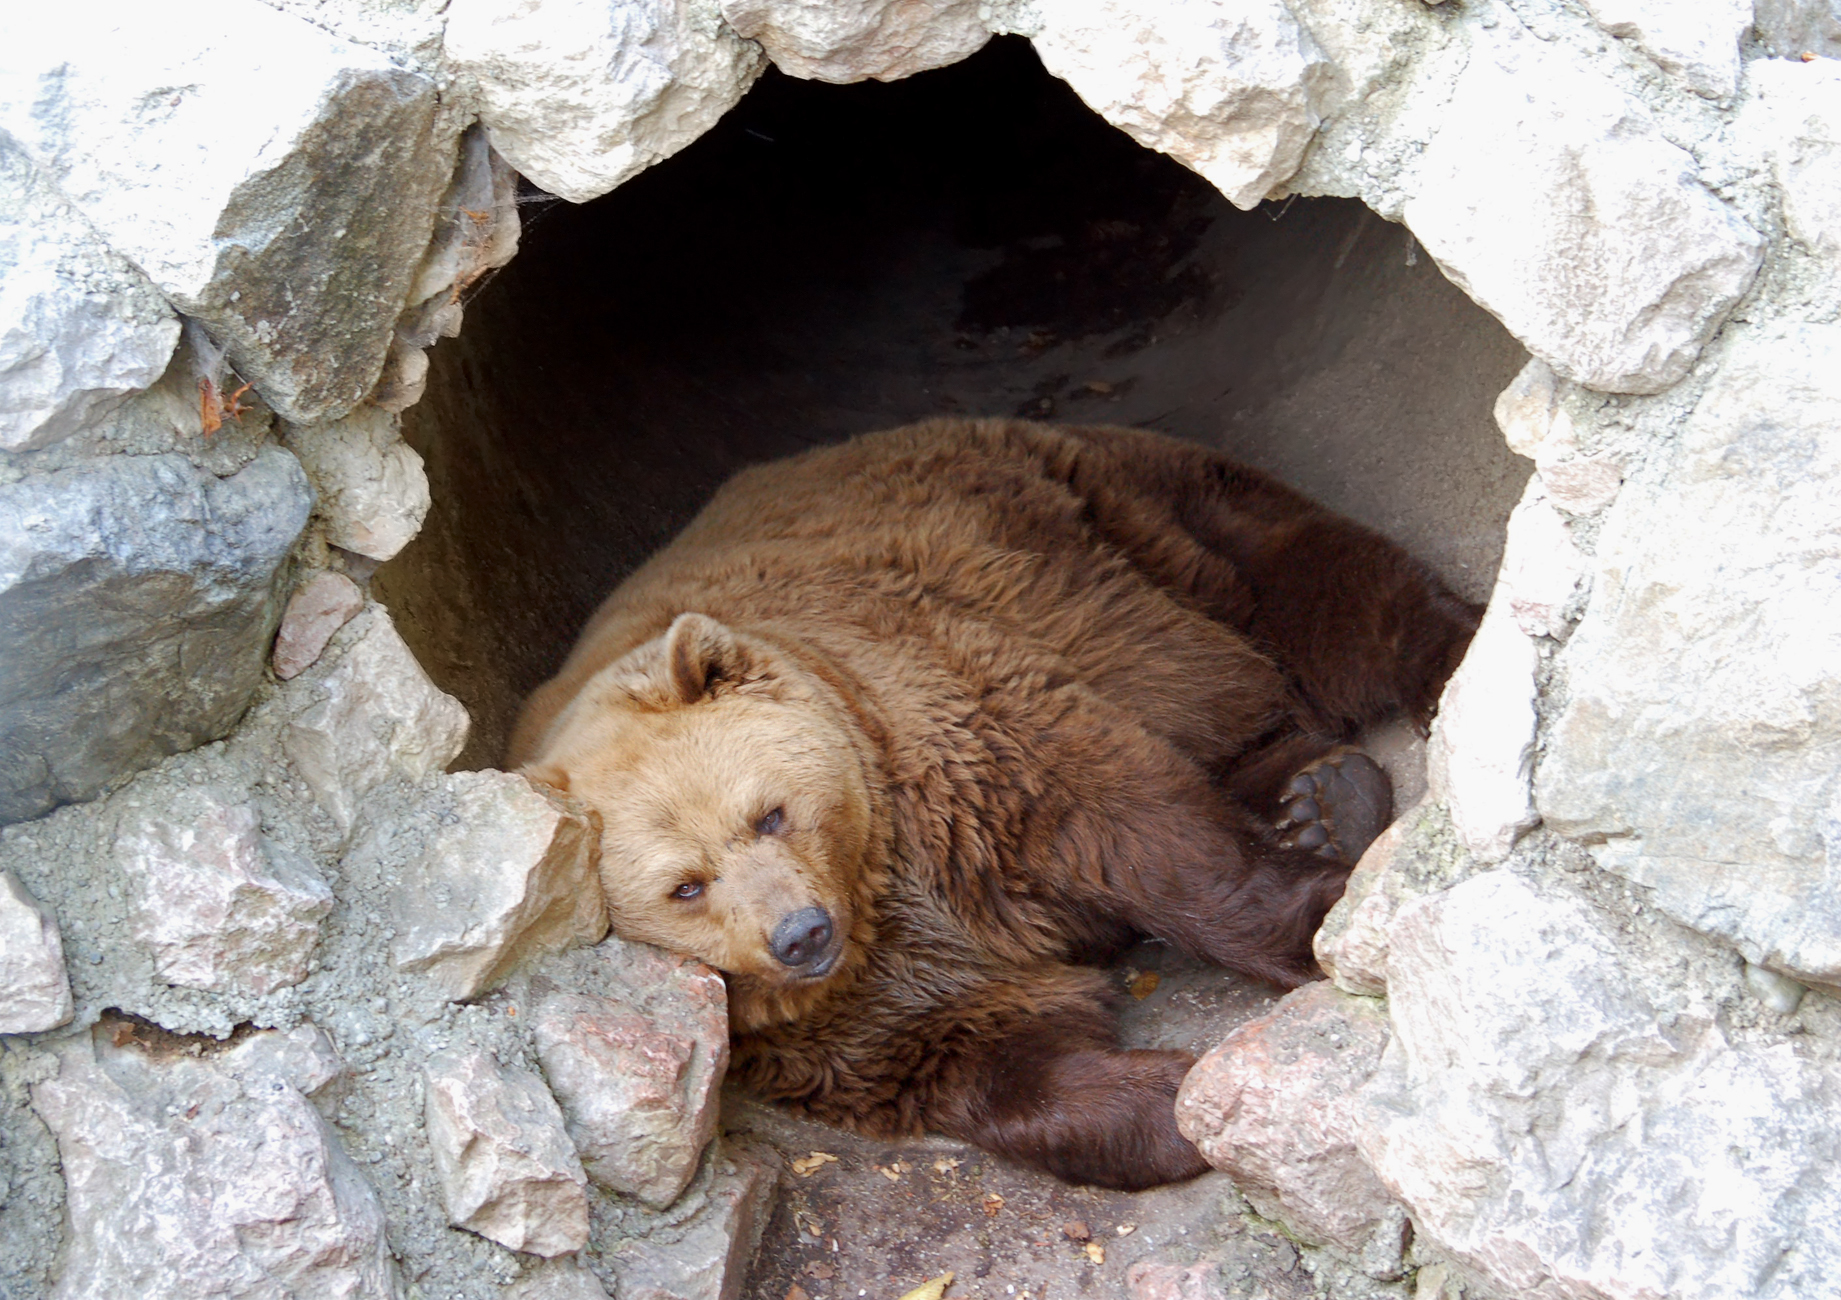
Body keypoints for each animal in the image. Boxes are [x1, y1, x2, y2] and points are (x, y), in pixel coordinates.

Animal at [508, 417, 1478, 1191]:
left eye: (768, 813)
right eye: (685, 886)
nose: (800, 934)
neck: (876, 884)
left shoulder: (957, 745)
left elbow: (1141, 831)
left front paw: (1311, 924)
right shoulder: (837, 1017)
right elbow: (983, 1054)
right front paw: (1167, 1099)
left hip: (1114, 524)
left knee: (1316, 589)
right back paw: (1320, 795)